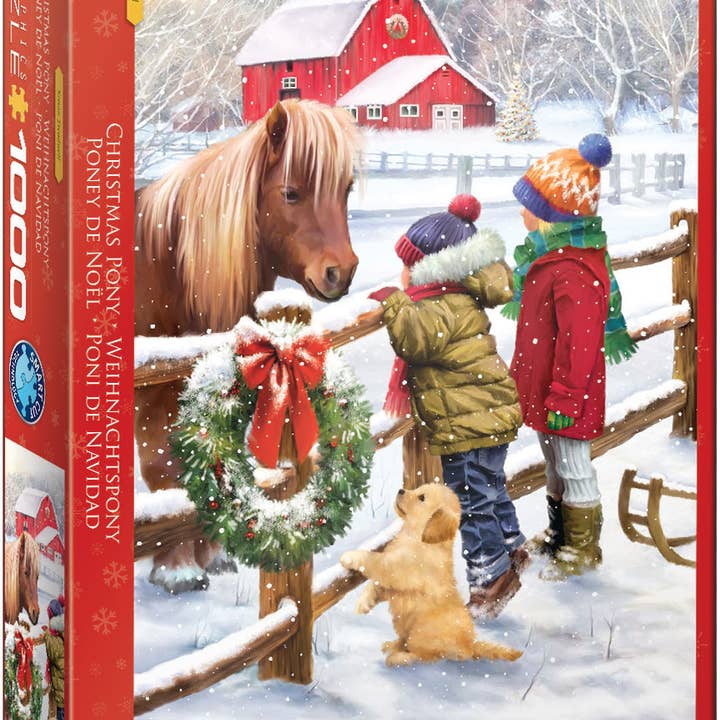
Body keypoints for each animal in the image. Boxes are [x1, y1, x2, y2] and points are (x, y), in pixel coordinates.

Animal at [135, 100, 362, 594]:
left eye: (346, 189)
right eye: (291, 193)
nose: (342, 271)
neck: (167, 267)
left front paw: (211, 554)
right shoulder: (153, 396)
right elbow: (164, 469)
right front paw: (178, 568)